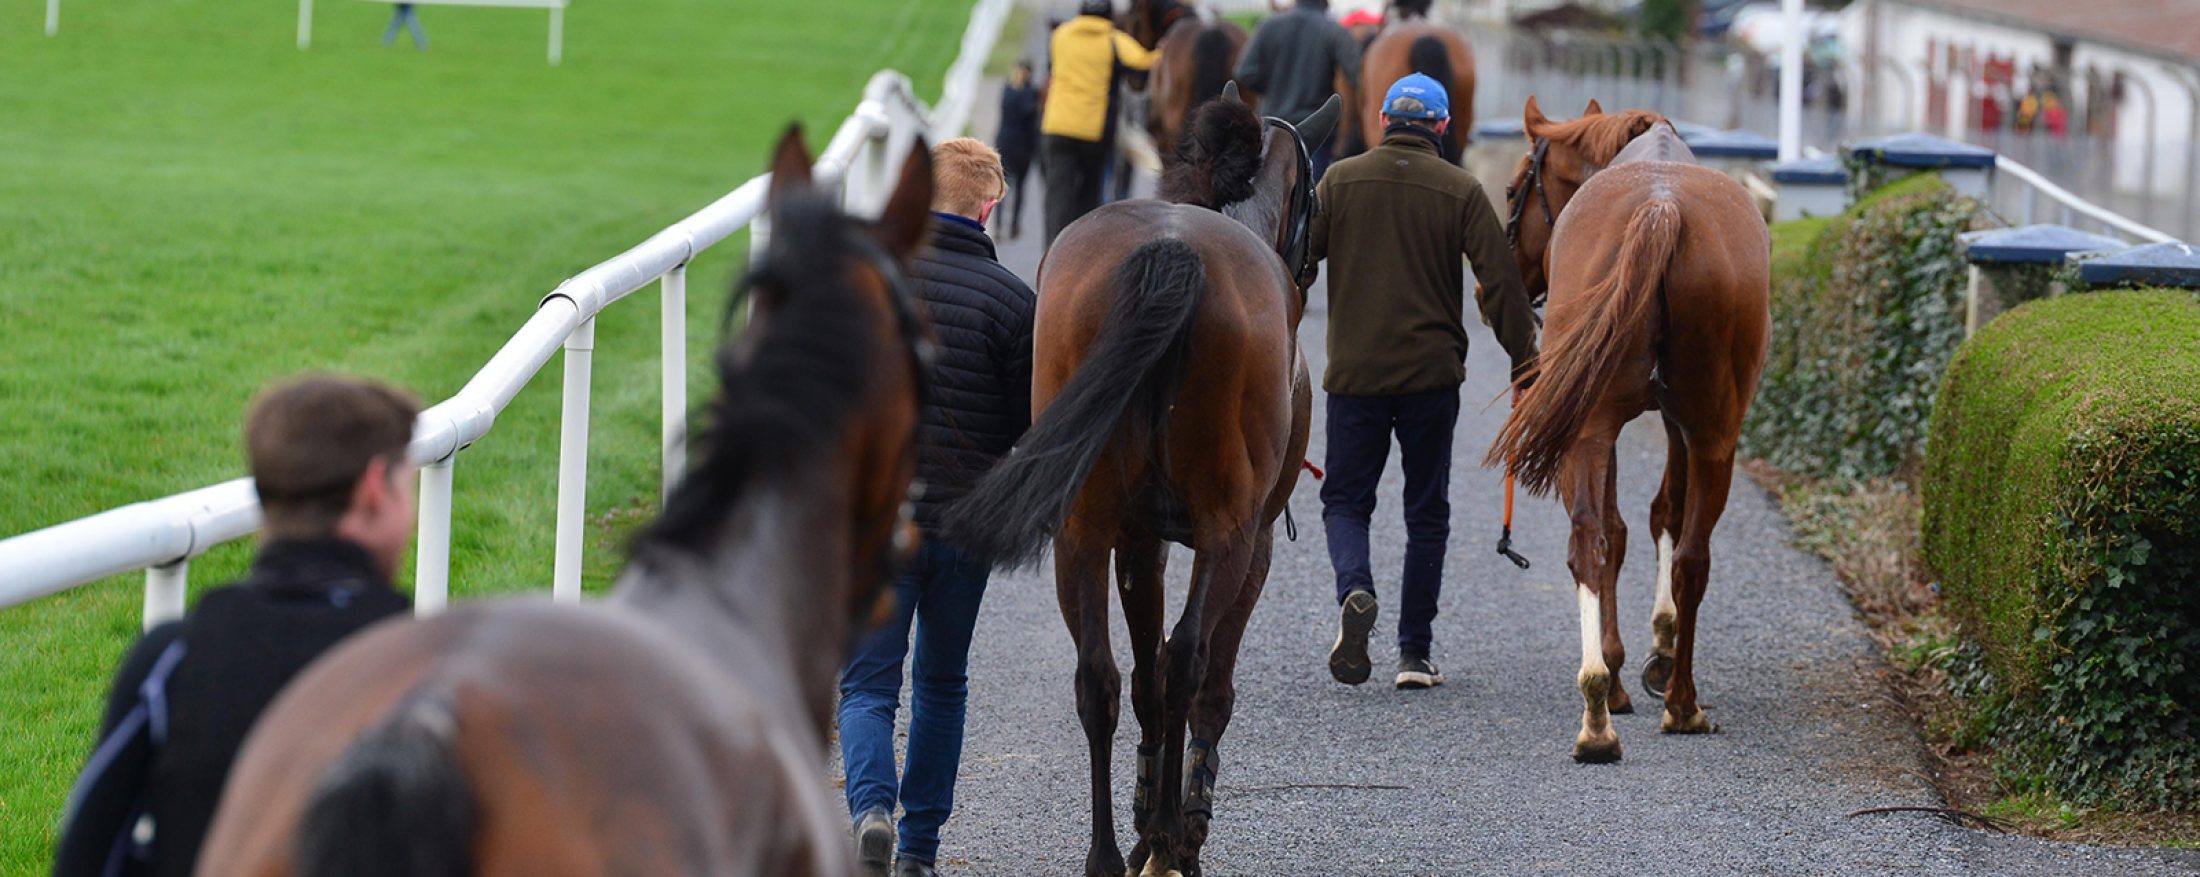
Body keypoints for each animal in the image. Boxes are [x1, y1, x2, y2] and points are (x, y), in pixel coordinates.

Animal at [946, 84, 1337, 877]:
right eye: (1313, 197)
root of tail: (1173, 250)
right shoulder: (1253, 541)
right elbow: (1202, 680)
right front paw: (1179, 825)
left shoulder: (1136, 538)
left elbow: (1143, 672)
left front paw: (1143, 816)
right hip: (1225, 528)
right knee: (1188, 658)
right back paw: (1171, 837)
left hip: (1081, 528)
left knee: (1097, 676)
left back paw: (1107, 851)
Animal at [1478, 99, 1768, 764]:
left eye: (1512, 188)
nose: (1482, 292)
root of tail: (1661, 208)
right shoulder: (1674, 425)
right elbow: (1658, 515)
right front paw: (1647, 655)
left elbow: (1633, 523)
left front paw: (1632, 661)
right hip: (1708, 433)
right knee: (1683, 554)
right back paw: (1665, 702)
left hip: (1609, 429)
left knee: (1598, 541)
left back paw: (1607, 708)